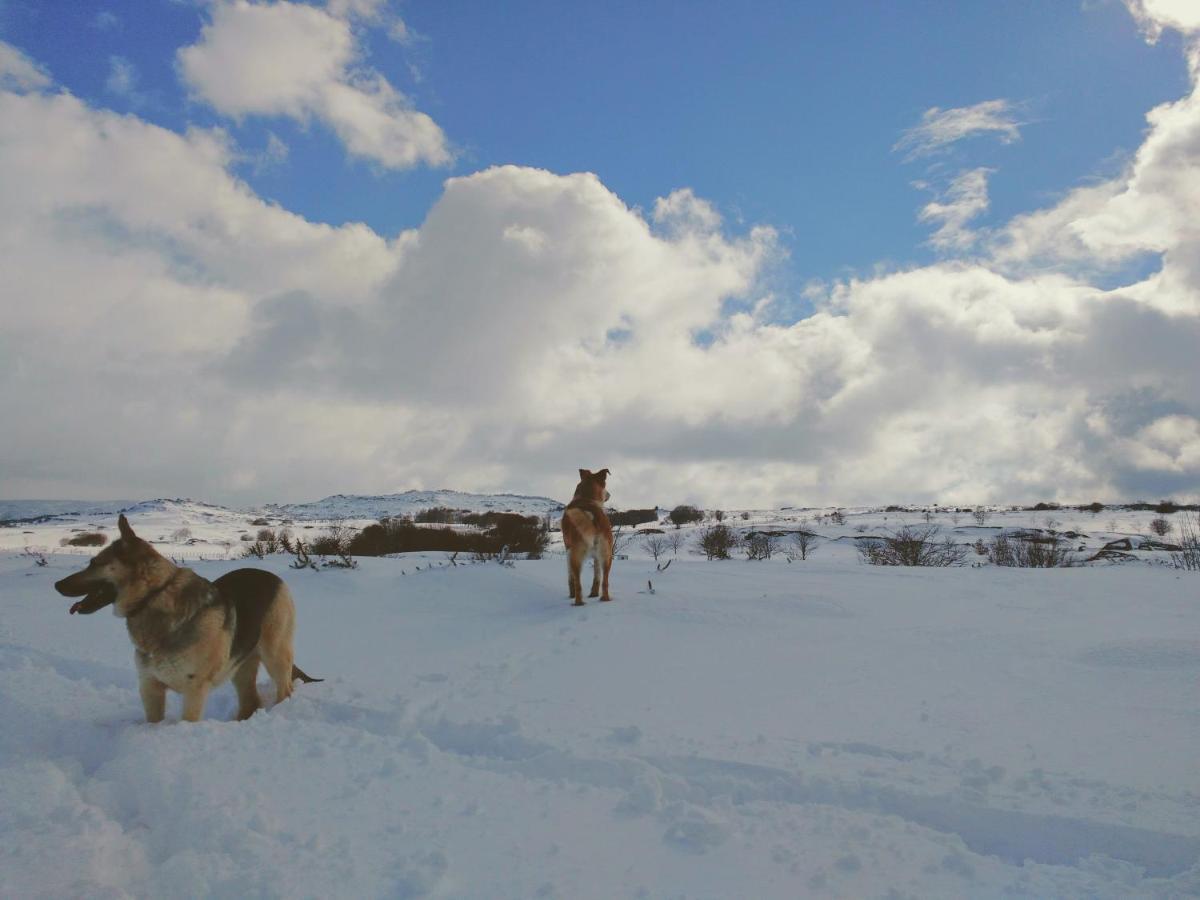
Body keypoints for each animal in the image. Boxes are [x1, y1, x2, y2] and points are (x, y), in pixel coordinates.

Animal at [53, 518, 319, 724]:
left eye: (93, 563)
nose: (56, 585)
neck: (155, 595)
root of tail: (272, 577)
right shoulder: (150, 687)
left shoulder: (194, 691)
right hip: (241, 665)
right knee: (250, 701)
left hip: (274, 654)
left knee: (284, 690)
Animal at [559, 472, 614, 607]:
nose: (609, 494)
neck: (586, 498)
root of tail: (592, 516)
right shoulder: (597, 556)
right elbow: (597, 575)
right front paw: (594, 594)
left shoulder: (568, 550)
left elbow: (570, 577)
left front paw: (571, 594)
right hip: (607, 555)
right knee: (605, 581)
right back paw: (604, 599)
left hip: (576, 556)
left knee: (577, 582)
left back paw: (578, 602)